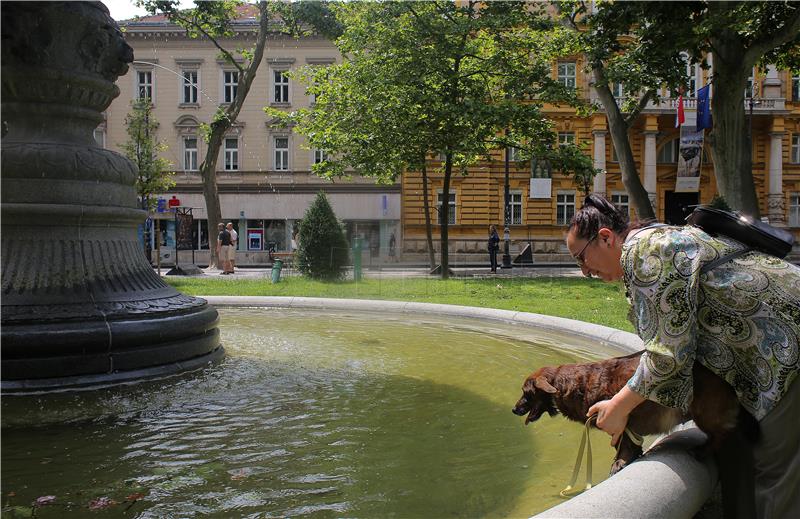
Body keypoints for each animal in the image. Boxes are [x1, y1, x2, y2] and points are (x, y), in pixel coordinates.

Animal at [512, 350, 756, 476]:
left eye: (526, 393)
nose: (514, 409)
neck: (573, 385)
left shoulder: (621, 420)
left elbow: (625, 446)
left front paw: (620, 463)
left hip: (705, 412)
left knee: (723, 433)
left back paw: (703, 450)